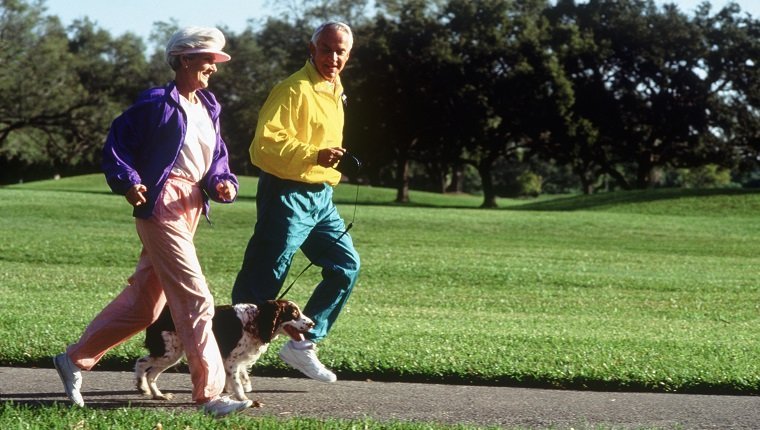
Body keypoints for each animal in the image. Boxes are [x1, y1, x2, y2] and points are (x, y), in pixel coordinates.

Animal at [135, 300, 314, 402]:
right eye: (294, 313)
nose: (312, 323)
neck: (256, 320)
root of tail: (159, 314)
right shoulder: (231, 360)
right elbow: (236, 382)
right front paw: (243, 398)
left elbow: (236, 378)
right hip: (169, 353)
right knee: (142, 364)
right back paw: (143, 387)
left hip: (172, 354)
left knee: (150, 373)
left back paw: (158, 394)